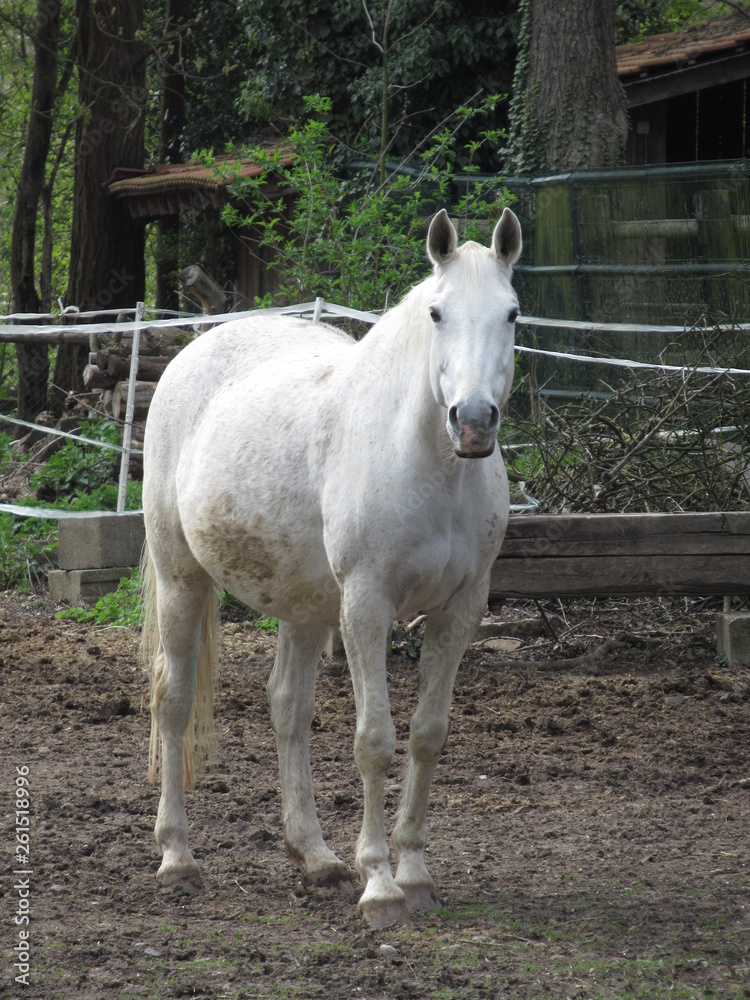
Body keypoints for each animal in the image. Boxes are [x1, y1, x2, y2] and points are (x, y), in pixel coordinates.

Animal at [144, 207, 524, 924]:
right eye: (437, 312)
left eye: (512, 313)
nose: (473, 421)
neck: (427, 464)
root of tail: (193, 352)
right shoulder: (367, 606)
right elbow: (374, 740)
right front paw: (380, 884)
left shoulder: (460, 610)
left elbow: (428, 734)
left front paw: (416, 873)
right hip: (183, 580)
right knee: (173, 703)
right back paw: (177, 858)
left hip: (302, 605)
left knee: (287, 708)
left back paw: (315, 856)